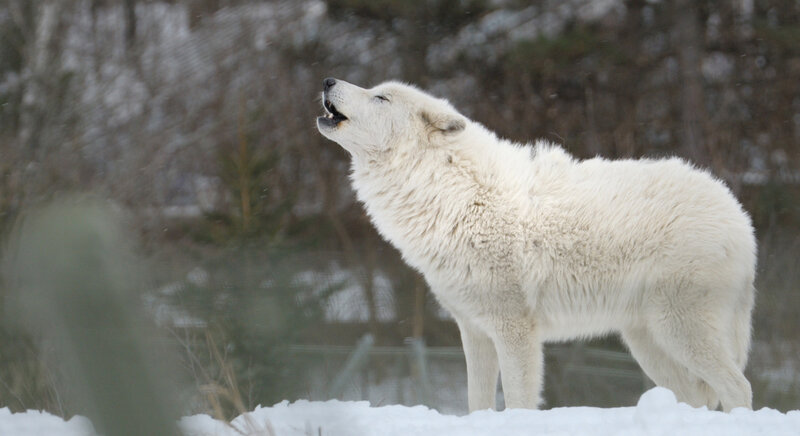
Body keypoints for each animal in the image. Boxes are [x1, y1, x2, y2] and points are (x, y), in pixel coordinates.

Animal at [316, 77, 756, 413]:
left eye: (381, 97)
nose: (328, 80)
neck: (454, 195)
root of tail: (738, 215)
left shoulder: (515, 330)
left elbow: (518, 401)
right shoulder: (473, 330)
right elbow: (477, 402)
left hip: (680, 330)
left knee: (738, 387)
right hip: (648, 342)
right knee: (698, 396)